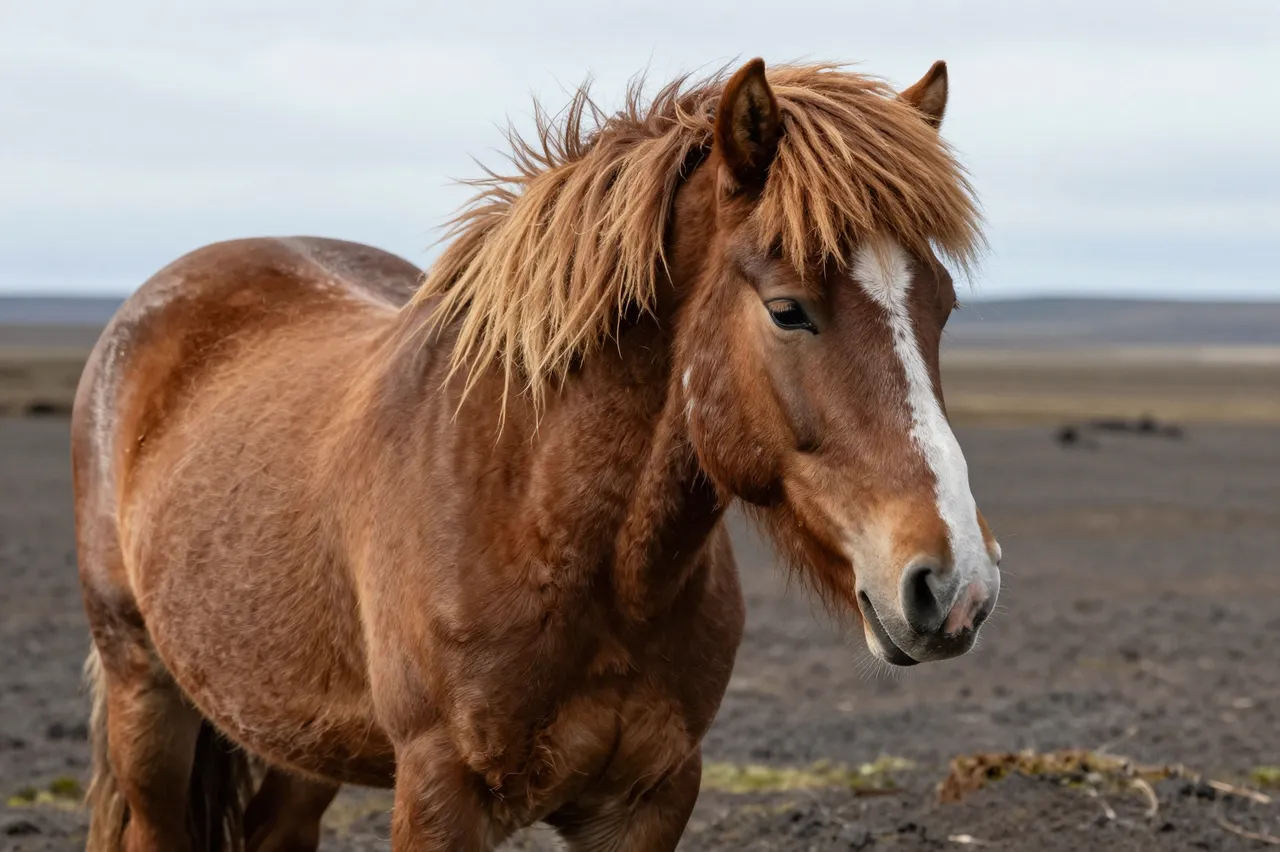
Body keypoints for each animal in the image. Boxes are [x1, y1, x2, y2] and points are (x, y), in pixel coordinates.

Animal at [72, 57, 1001, 852]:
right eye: (787, 310)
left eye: (946, 307)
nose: (957, 586)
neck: (548, 523)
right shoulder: (439, 793)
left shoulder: (650, 799)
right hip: (145, 694)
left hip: (300, 737)